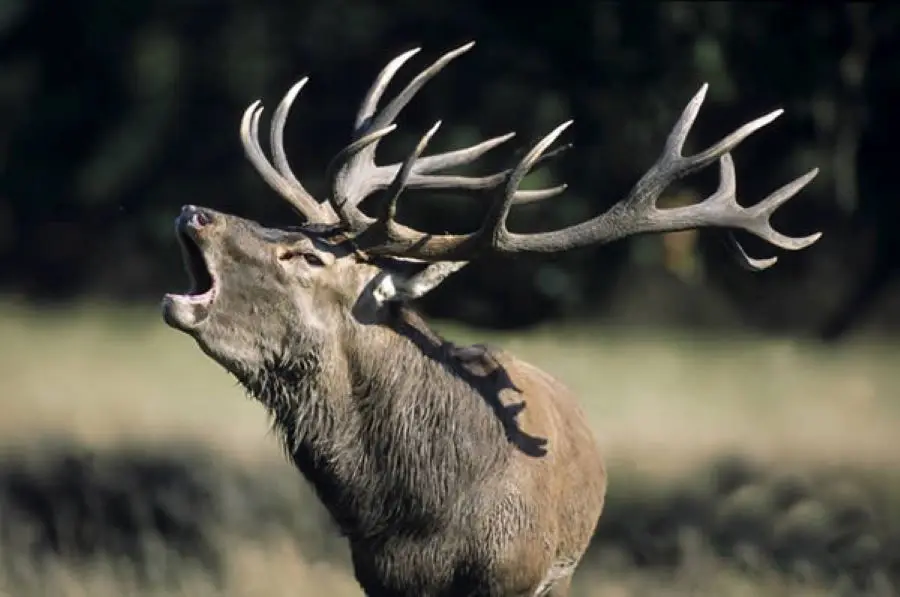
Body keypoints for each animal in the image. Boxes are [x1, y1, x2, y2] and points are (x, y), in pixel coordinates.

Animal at [161, 42, 821, 597]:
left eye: (306, 255)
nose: (194, 211)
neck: (419, 516)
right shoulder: (377, 580)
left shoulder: (516, 576)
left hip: (563, 572)